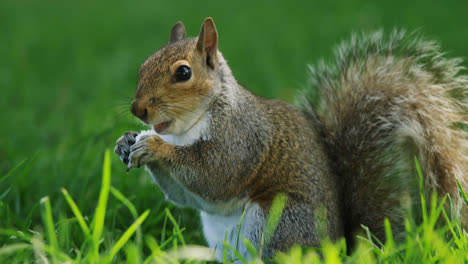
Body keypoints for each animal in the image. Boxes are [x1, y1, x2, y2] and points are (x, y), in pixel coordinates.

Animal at [113, 17, 468, 260]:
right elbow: (185, 196)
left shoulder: (242, 138)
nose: (137, 108)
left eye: (183, 73)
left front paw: (154, 146)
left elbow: (216, 176)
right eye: (143, 66)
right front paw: (126, 142)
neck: (186, 129)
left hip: (277, 222)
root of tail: (339, 248)